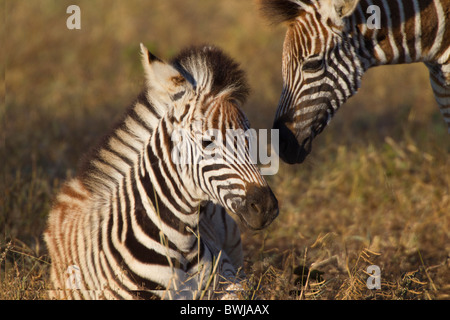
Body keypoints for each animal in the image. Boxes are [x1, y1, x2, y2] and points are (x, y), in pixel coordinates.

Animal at [44, 43, 278, 298]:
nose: (266, 207)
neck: (181, 245)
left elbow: (241, 288)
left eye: (250, 137)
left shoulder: (226, 273)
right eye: (207, 142)